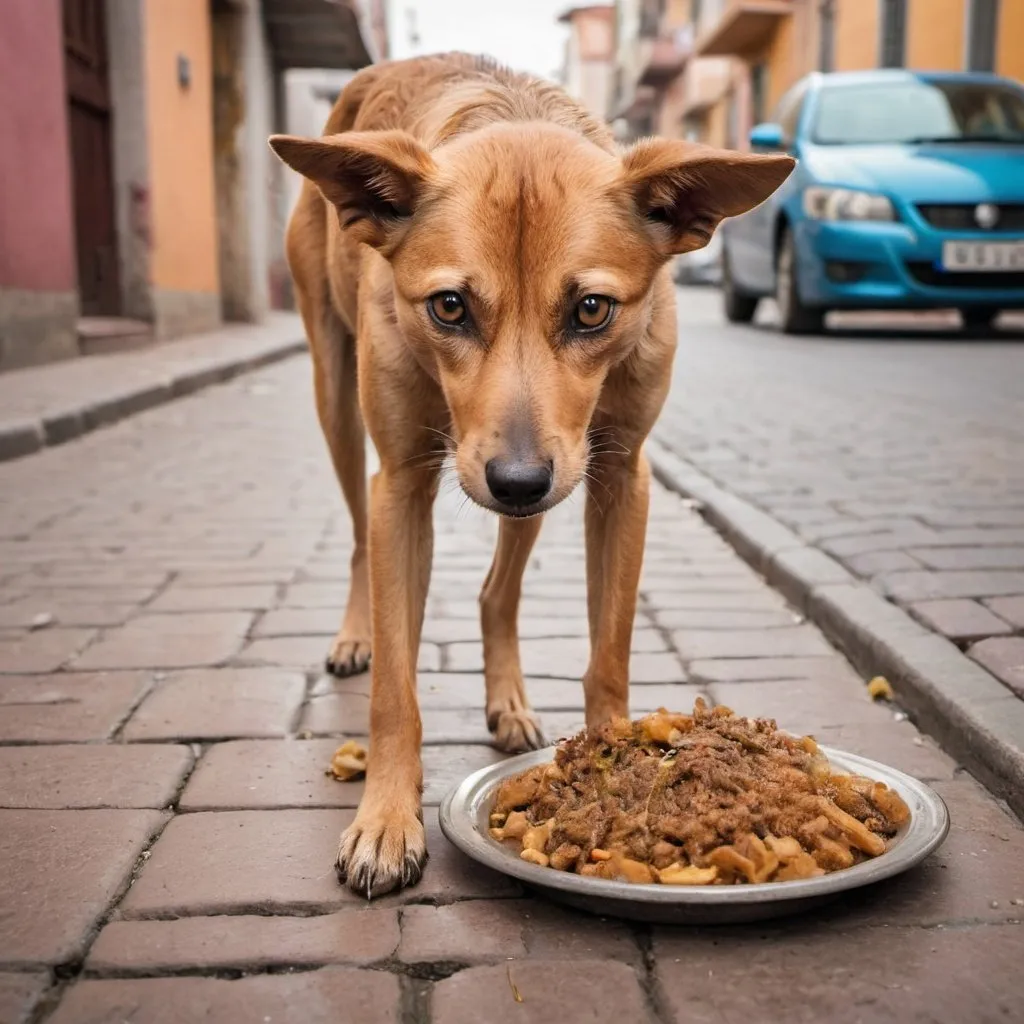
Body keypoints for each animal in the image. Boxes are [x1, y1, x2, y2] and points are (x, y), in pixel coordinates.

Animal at [270, 54, 790, 897]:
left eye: (592, 309)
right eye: (449, 306)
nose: (515, 480)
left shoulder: (617, 478)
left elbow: (609, 654)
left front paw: (615, 773)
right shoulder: (403, 484)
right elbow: (395, 694)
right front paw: (385, 819)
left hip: (555, 472)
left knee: (496, 592)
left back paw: (506, 698)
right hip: (339, 400)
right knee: (357, 541)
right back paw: (355, 635)